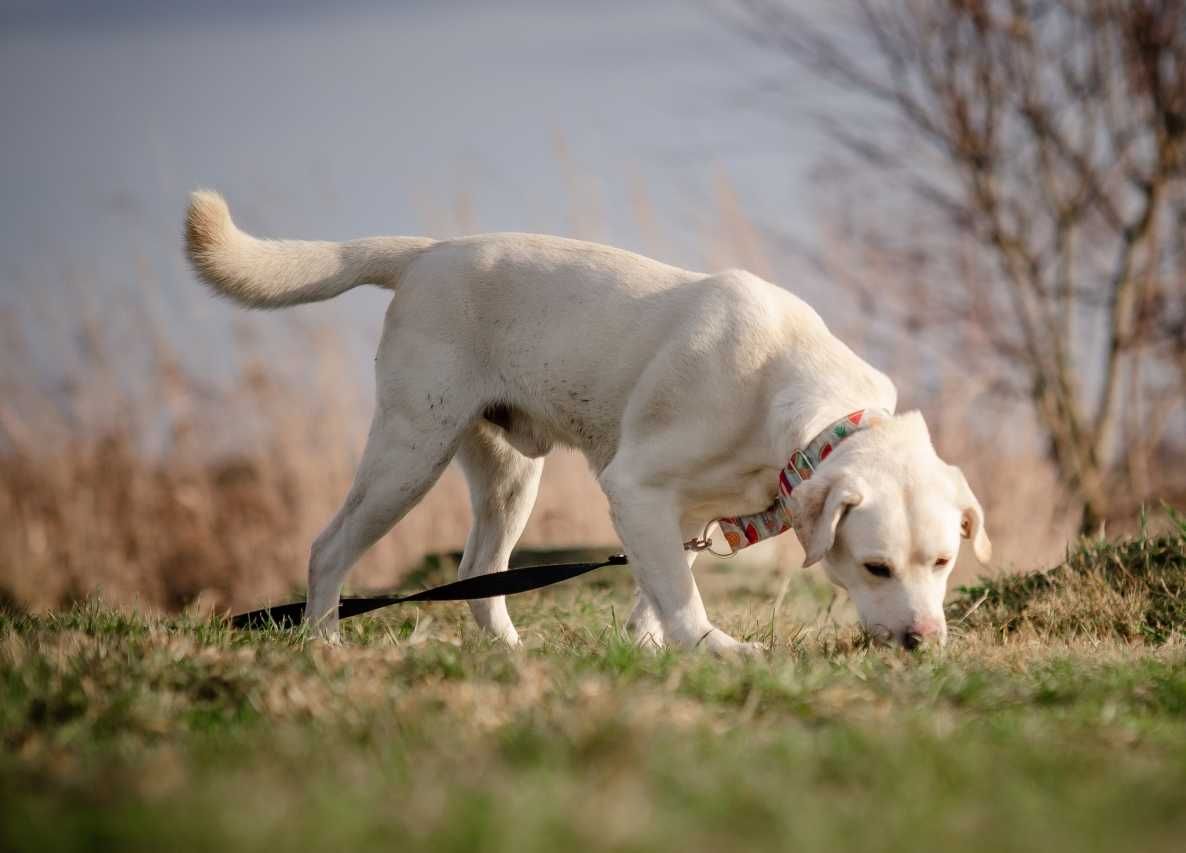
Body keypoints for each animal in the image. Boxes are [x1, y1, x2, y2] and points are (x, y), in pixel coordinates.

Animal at [182, 192, 982, 654]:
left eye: (944, 563)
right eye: (876, 566)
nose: (923, 642)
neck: (788, 394)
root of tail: (427, 255)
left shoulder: (683, 513)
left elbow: (660, 587)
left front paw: (649, 650)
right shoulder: (635, 488)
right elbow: (681, 597)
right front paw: (717, 653)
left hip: (509, 476)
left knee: (477, 572)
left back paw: (509, 656)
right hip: (409, 453)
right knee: (329, 548)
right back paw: (324, 646)